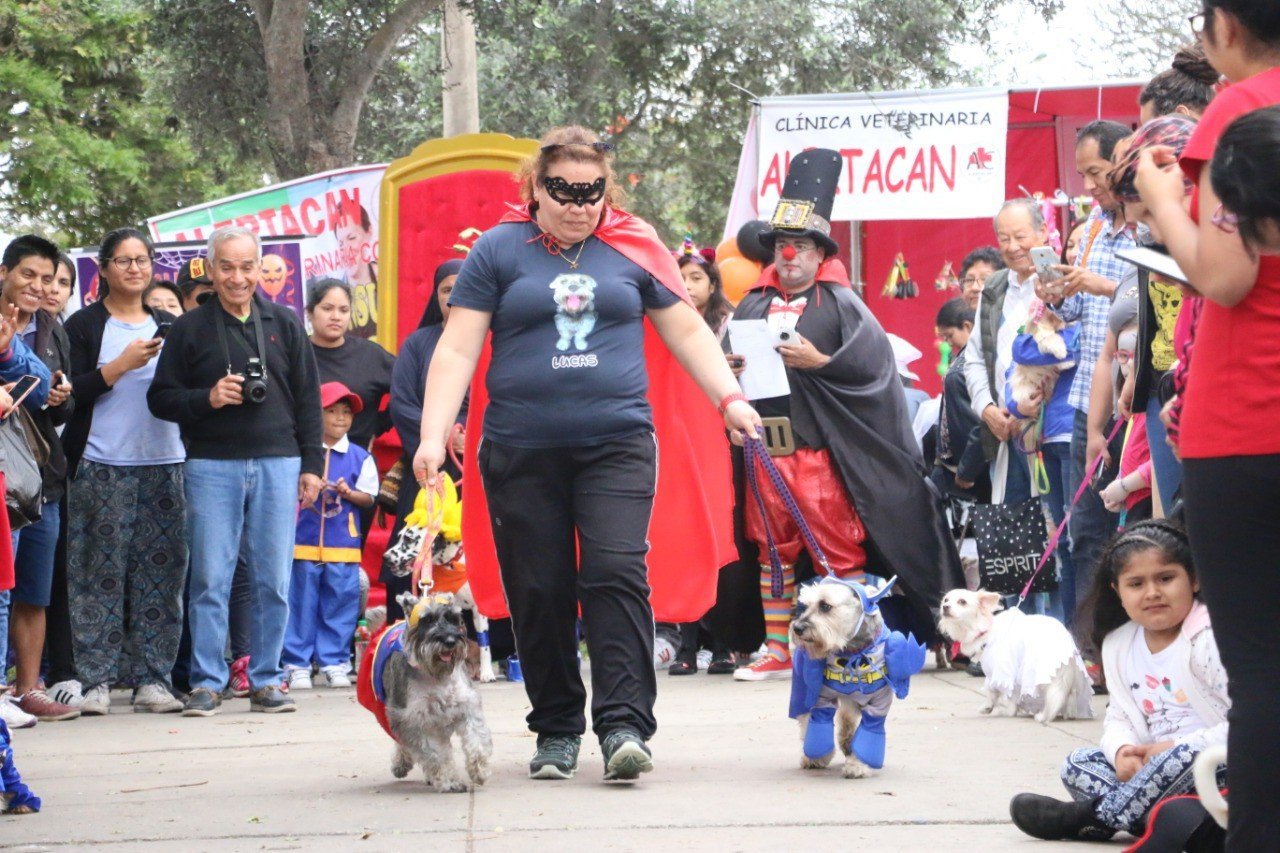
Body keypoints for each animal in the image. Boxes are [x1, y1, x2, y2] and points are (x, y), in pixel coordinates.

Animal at [358, 589, 491, 788]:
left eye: (453, 618)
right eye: (427, 620)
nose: (450, 641)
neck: (436, 674)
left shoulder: (466, 707)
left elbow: (477, 740)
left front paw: (480, 770)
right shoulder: (413, 719)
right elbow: (435, 753)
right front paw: (450, 780)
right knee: (402, 742)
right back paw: (401, 764)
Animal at [783, 573, 926, 773]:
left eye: (825, 606)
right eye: (805, 606)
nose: (797, 628)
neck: (852, 651)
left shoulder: (878, 704)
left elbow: (869, 731)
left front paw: (858, 764)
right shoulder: (821, 697)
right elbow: (818, 724)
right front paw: (818, 756)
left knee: (847, 717)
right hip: (804, 690)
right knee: (806, 718)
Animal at [936, 589, 1095, 722]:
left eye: (962, 602)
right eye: (946, 600)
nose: (945, 607)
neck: (984, 630)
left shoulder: (1000, 672)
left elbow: (997, 692)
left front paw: (999, 709)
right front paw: (991, 706)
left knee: (1053, 698)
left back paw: (1043, 715)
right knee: (1069, 696)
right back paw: (1069, 714)